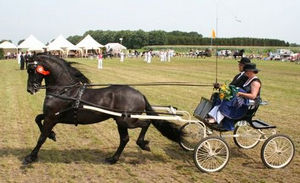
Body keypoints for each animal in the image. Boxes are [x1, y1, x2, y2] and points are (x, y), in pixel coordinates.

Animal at [24, 54, 180, 164]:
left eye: (31, 69)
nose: (30, 89)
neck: (64, 91)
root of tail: (140, 94)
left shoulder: (51, 118)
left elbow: (41, 137)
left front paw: (31, 157)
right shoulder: (52, 116)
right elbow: (37, 119)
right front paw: (53, 135)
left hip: (126, 121)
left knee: (145, 123)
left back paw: (142, 144)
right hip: (121, 122)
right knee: (125, 139)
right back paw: (113, 159)